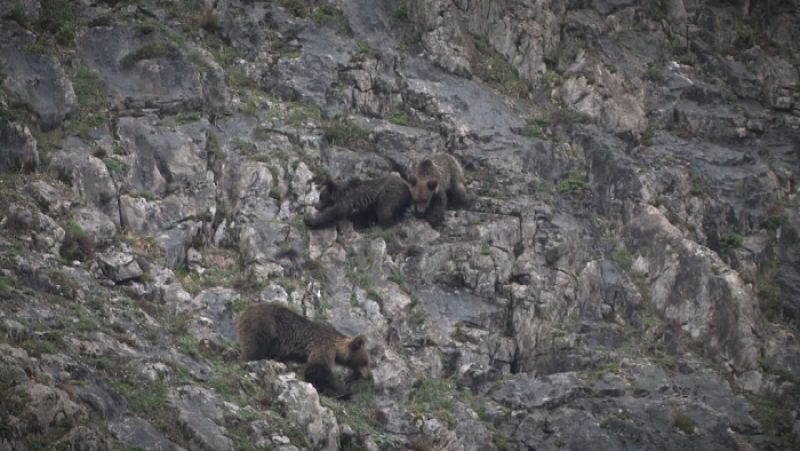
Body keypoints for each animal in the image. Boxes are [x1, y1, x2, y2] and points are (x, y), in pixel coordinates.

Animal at [236, 302, 370, 398]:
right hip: (264, 327)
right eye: (365, 361)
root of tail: (244, 312)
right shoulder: (323, 346)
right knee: (254, 349)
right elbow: (318, 368)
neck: (337, 348)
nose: (365, 375)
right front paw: (344, 391)